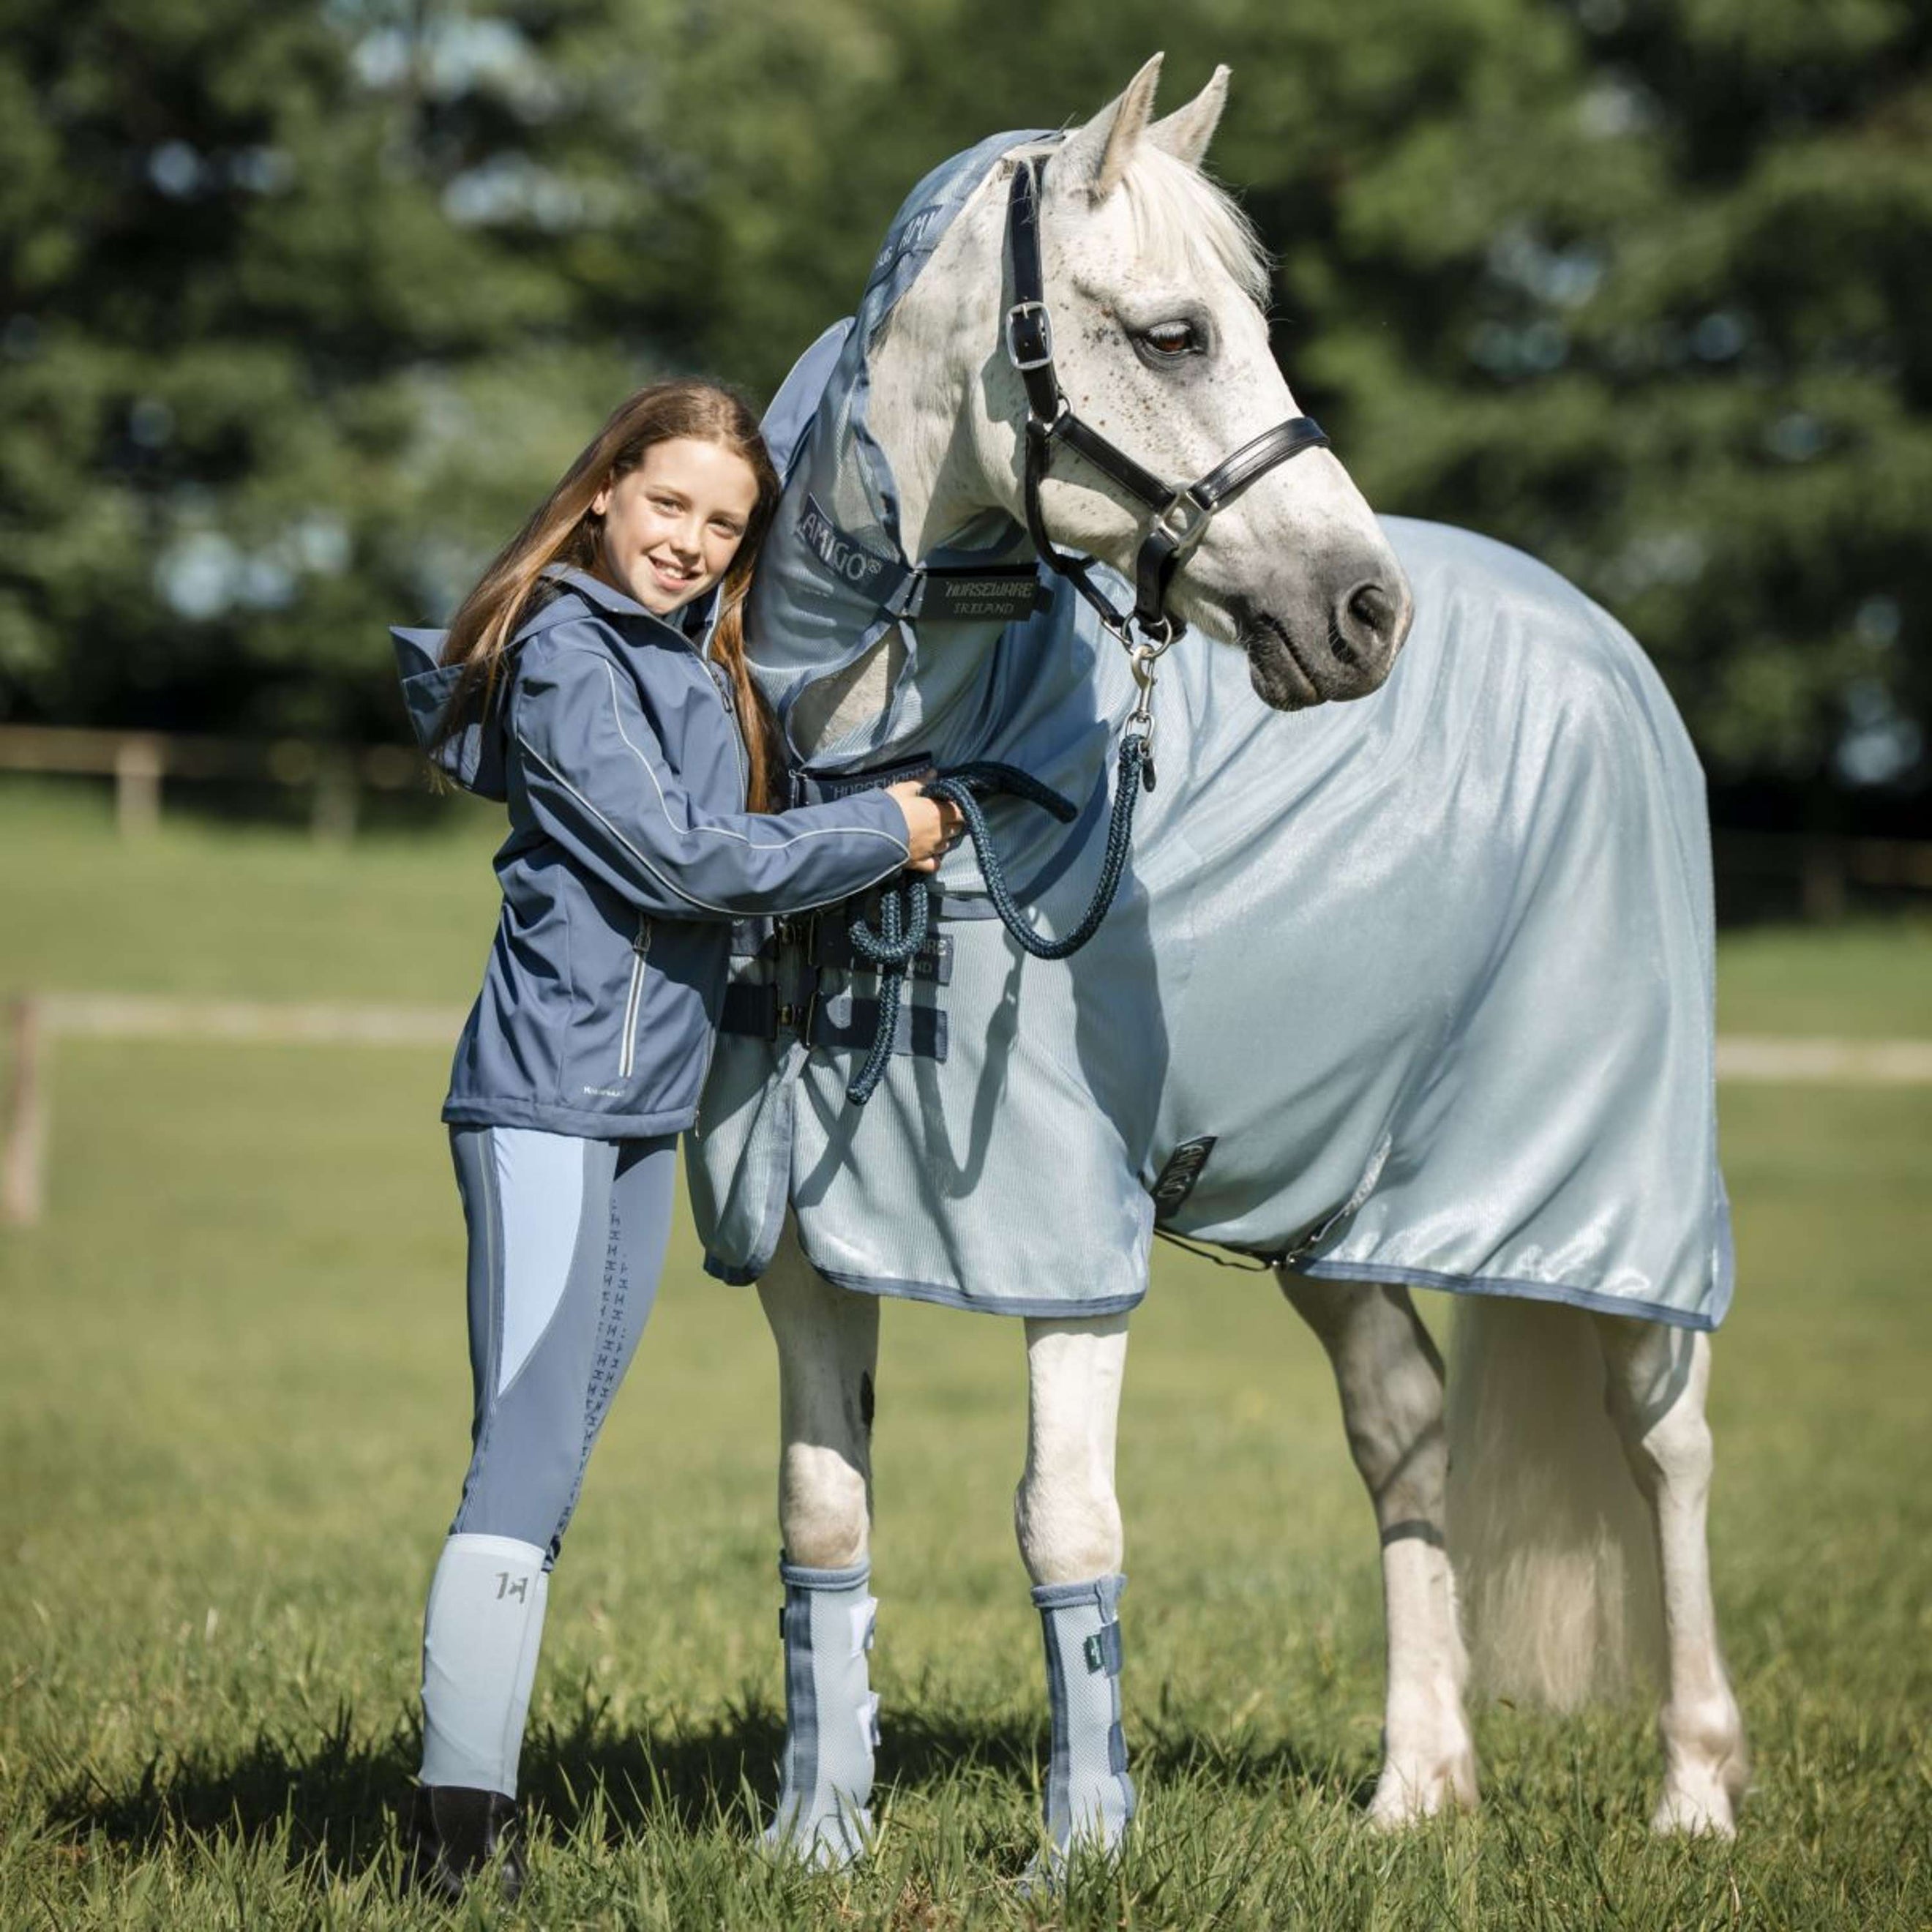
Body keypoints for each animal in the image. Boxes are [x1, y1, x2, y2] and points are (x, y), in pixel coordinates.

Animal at [688, 55, 1748, 1867]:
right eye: (1177, 335)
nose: (1366, 611)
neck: (909, 795)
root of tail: (1603, 643)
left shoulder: (1068, 1252)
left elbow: (1065, 1523)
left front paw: (1079, 1852)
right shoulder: (805, 1244)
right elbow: (820, 1514)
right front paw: (814, 1842)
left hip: (1617, 1195)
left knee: (1666, 1443)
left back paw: (1694, 1789)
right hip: (1343, 1204)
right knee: (1405, 1436)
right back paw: (1418, 1787)